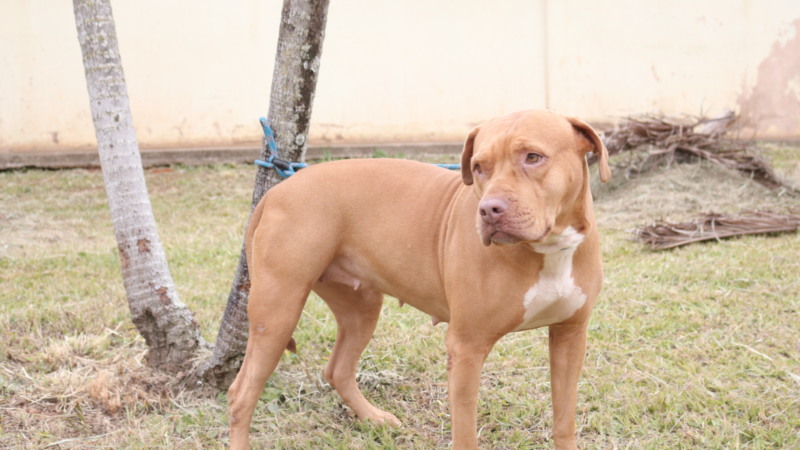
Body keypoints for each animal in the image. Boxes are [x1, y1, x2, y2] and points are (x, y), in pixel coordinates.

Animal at [228, 110, 611, 449]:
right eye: (478, 167)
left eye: (533, 157)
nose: (489, 210)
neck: (548, 248)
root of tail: (277, 192)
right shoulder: (467, 347)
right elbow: (465, 434)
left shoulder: (570, 336)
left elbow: (564, 418)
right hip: (278, 311)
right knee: (242, 393)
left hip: (360, 306)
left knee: (338, 369)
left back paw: (374, 418)